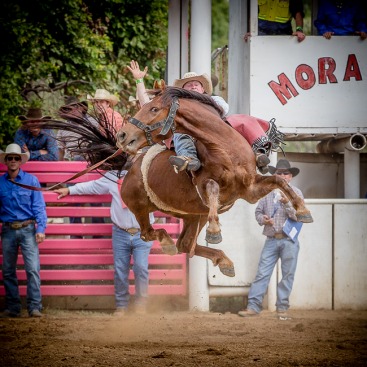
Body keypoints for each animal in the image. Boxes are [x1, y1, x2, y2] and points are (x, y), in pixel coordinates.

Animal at [115, 85, 314, 278]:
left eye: (154, 108)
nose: (122, 135)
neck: (227, 149)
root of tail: (130, 169)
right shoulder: (206, 189)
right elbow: (212, 187)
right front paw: (214, 230)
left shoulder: (250, 191)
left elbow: (279, 181)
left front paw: (303, 210)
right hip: (140, 208)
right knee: (148, 234)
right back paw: (168, 243)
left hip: (194, 216)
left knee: (185, 244)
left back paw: (225, 262)